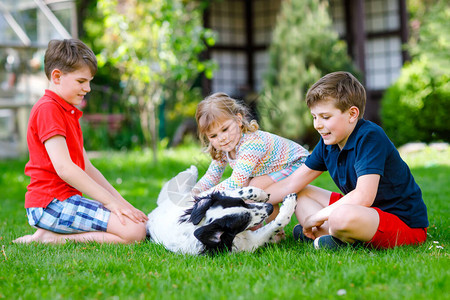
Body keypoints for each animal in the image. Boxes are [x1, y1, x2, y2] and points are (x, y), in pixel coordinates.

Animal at [146, 165, 298, 254]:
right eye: (244, 220)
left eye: (242, 203)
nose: (270, 207)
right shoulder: (249, 242)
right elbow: (279, 222)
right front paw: (289, 203)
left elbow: (235, 191)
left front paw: (260, 194)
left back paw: (192, 171)